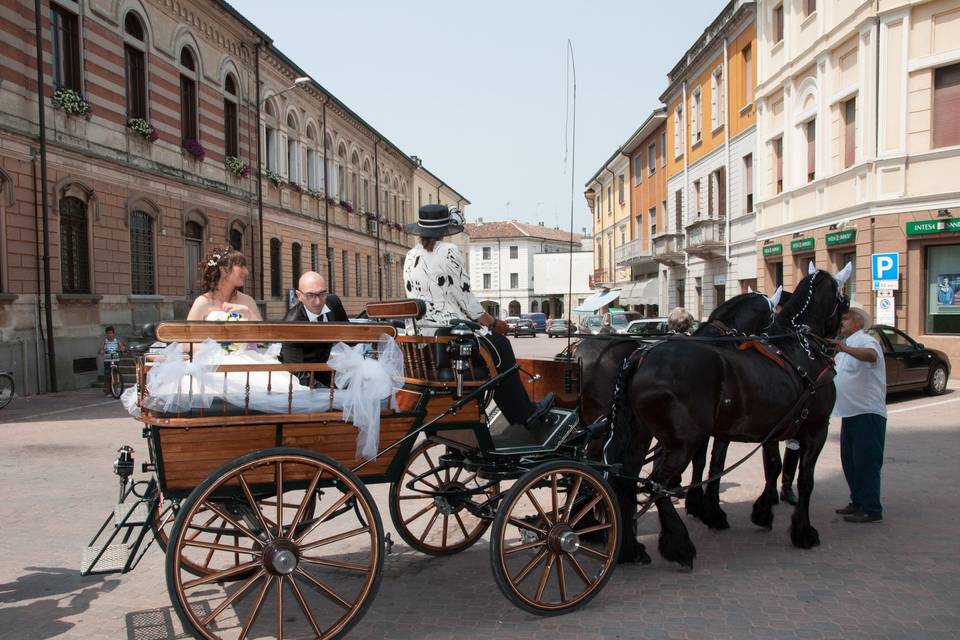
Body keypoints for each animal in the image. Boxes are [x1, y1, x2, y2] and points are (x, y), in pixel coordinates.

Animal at [608, 268, 848, 568]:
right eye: (844, 302)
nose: (839, 338)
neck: (800, 347)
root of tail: (642, 355)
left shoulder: (765, 429)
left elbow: (762, 466)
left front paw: (758, 510)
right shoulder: (816, 430)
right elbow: (805, 480)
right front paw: (803, 531)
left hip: (642, 434)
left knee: (627, 477)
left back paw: (630, 547)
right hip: (684, 441)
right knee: (657, 483)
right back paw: (678, 544)